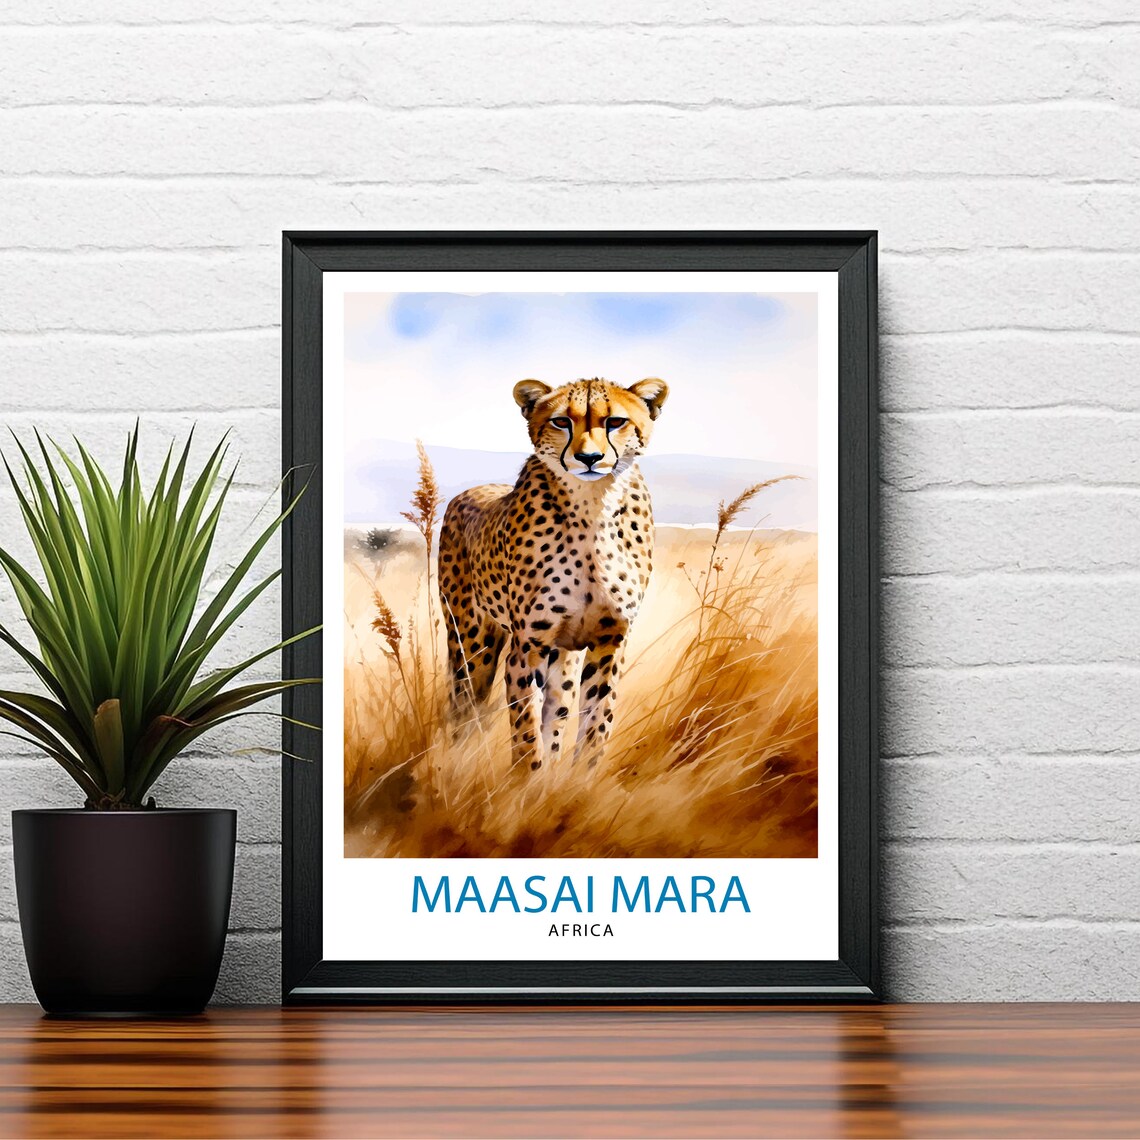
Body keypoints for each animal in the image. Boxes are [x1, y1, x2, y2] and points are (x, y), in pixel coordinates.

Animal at [437, 376, 669, 771]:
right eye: (561, 422)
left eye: (615, 422)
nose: (589, 458)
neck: (593, 505)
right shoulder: (528, 647)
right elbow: (526, 733)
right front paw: (525, 784)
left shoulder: (609, 643)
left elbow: (595, 726)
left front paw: (580, 783)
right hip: (472, 640)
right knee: (466, 705)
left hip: (563, 655)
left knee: (556, 712)